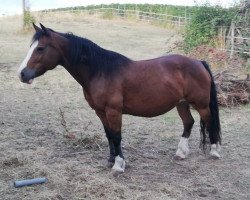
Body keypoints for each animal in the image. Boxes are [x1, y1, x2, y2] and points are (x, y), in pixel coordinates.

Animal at [18, 23, 221, 173]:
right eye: (30, 47)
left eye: (40, 48)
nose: (22, 74)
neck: (100, 71)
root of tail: (198, 62)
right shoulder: (100, 112)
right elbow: (109, 135)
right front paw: (111, 160)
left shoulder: (114, 111)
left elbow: (116, 136)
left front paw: (118, 165)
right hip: (182, 104)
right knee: (188, 123)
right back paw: (181, 153)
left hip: (201, 104)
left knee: (209, 122)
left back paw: (214, 151)